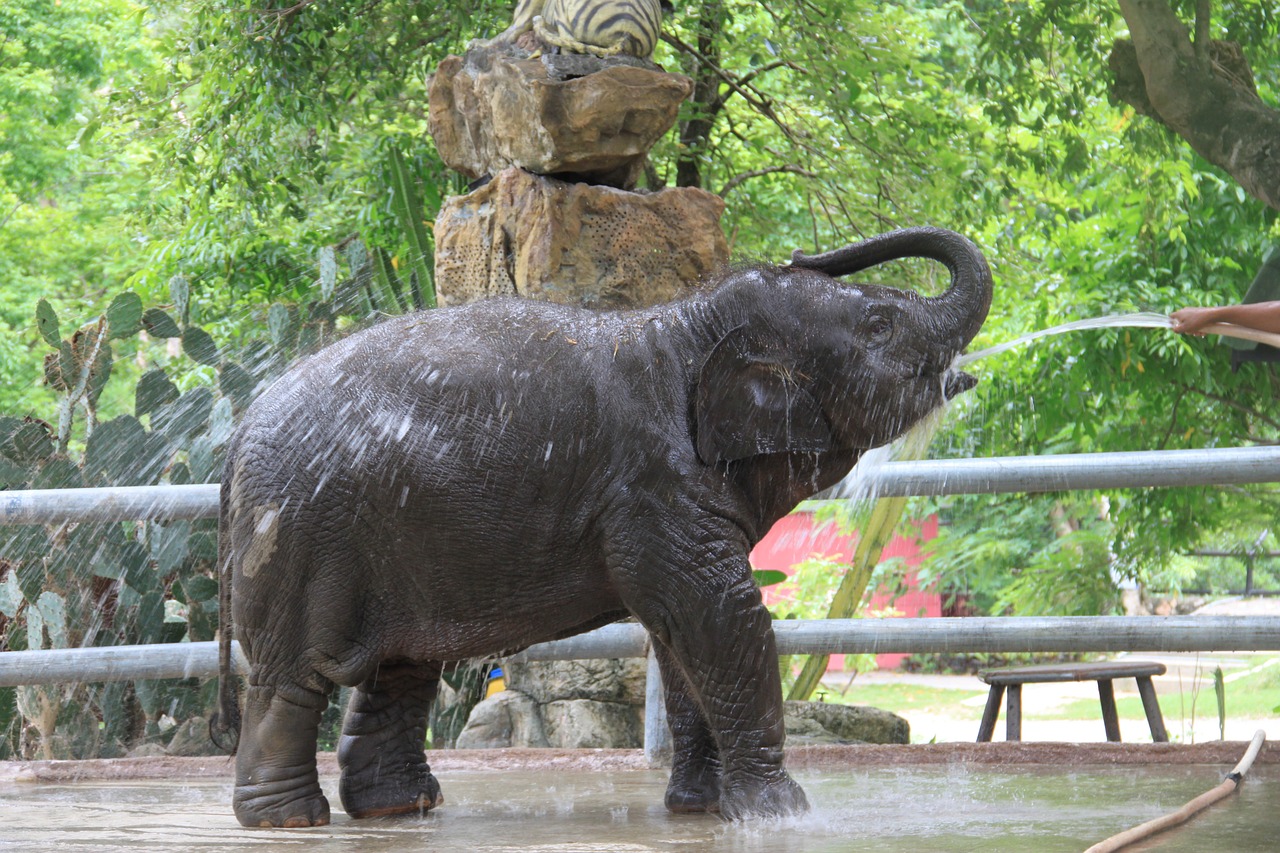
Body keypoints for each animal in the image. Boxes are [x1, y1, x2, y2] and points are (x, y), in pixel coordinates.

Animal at [215, 225, 988, 824]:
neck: (688, 321)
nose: (802, 251)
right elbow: (721, 613)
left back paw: (400, 808)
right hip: (300, 531)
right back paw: (290, 819)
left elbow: (681, 636)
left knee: (401, 667)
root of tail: (239, 433)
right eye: (881, 326)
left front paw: (703, 810)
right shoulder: (652, 485)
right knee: (295, 677)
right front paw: (781, 815)